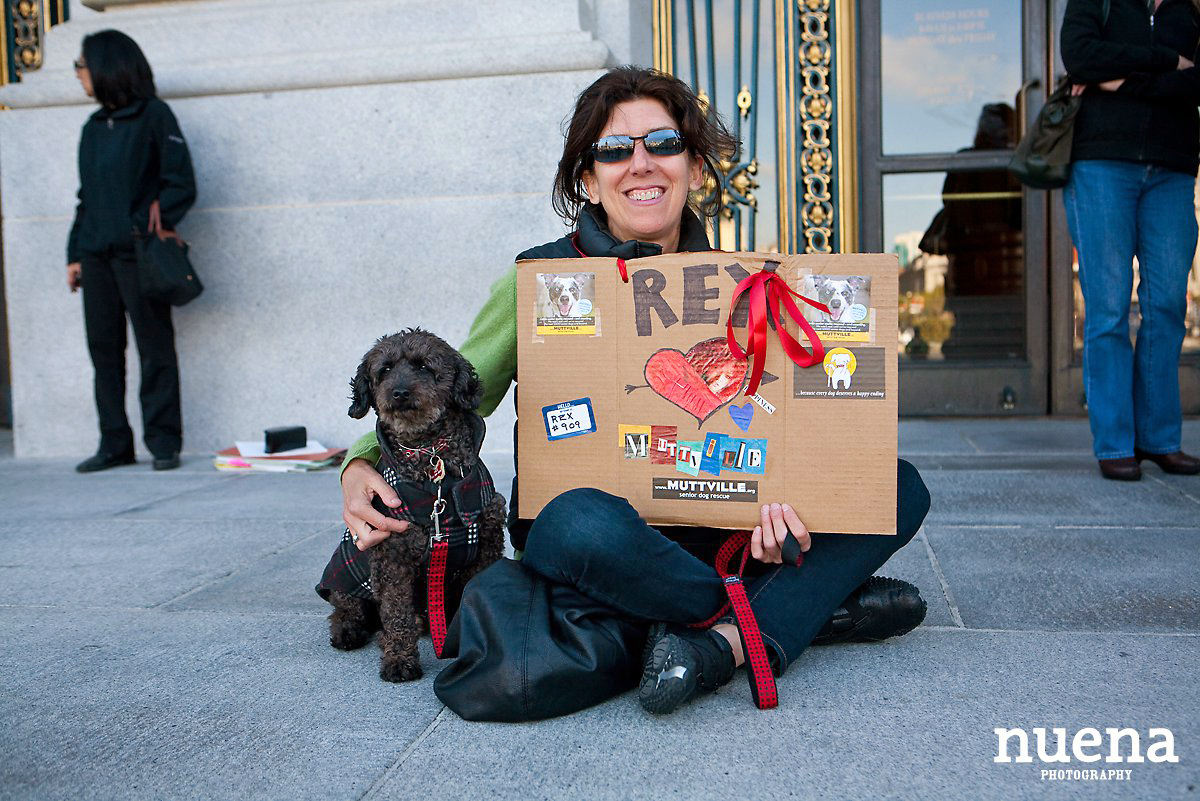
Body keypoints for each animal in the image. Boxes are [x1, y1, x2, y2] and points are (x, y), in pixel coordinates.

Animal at [316, 328, 504, 681]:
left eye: (424, 366)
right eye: (385, 370)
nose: (399, 393)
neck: (429, 456)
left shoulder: (487, 542)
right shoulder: (392, 555)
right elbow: (396, 614)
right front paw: (399, 661)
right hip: (348, 575)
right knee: (347, 608)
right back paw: (349, 630)